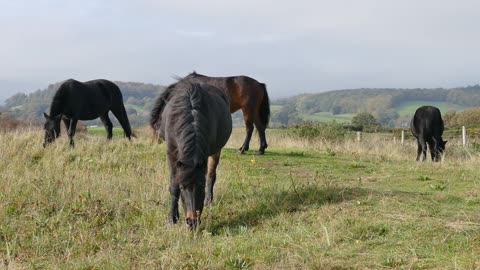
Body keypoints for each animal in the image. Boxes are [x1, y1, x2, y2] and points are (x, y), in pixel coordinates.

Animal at [150, 79, 232, 229]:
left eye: (201, 186)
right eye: (183, 187)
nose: (192, 222)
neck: (191, 115)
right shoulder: (171, 155)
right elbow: (173, 185)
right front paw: (172, 217)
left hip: (216, 151)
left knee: (211, 174)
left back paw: (209, 200)